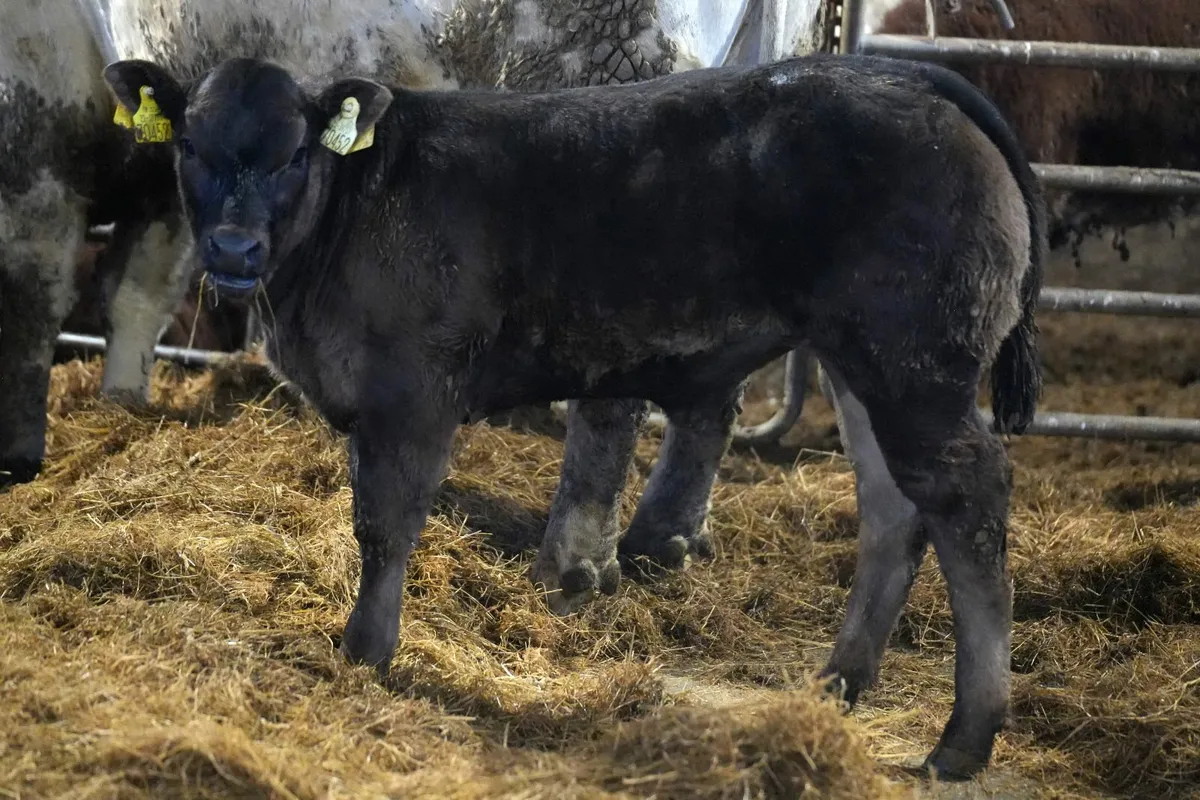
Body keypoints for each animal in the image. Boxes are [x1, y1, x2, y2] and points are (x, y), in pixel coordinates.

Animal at [99, 48, 1047, 777]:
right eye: (190, 143)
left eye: (295, 153)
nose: (232, 247)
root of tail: (904, 72)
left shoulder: (414, 392)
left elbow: (384, 524)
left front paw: (367, 652)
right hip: (863, 366)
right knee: (892, 509)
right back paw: (838, 685)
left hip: (915, 364)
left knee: (970, 500)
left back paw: (962, 742)